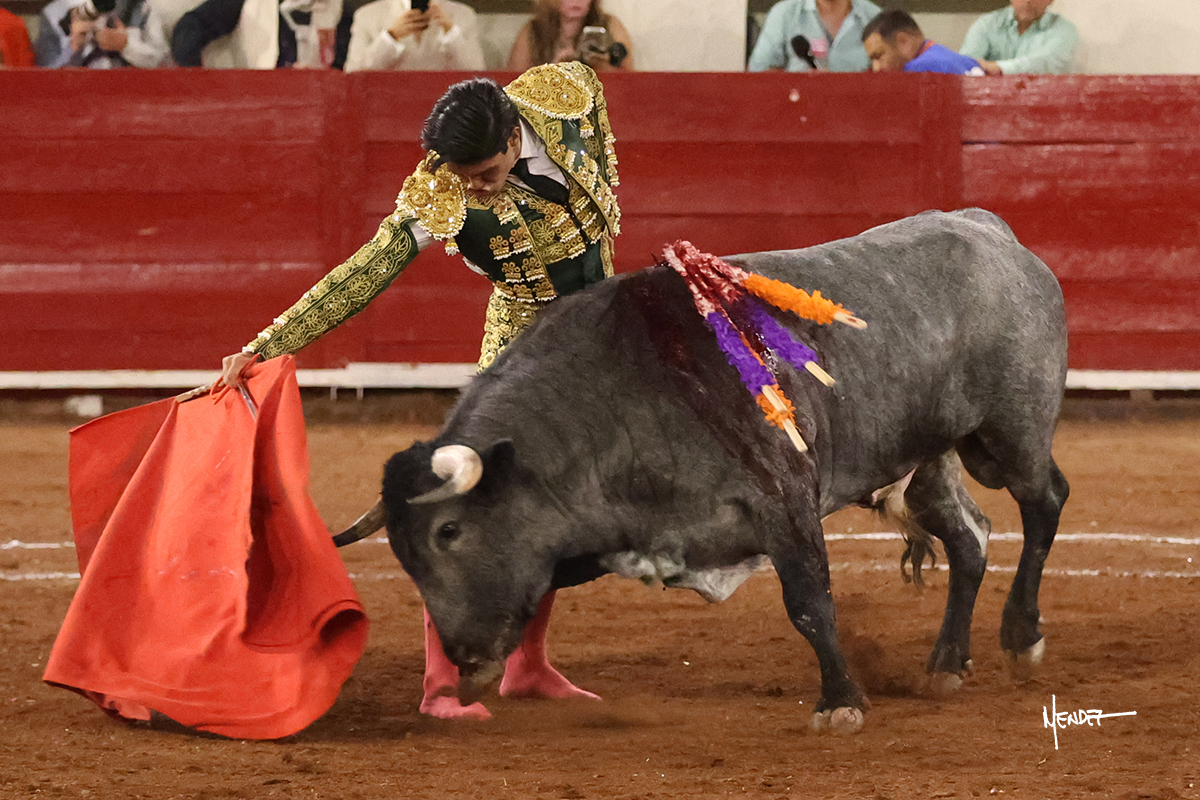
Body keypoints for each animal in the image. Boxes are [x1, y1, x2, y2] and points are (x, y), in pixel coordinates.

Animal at [341, 208, 1070, 734]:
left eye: (450, 533)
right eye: (403, 555)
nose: (462, 657)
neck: (614, 398)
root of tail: (994, 233)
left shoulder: (785, 501)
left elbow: (810, 604)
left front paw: (840, 702)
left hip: (1011, 434)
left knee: (1043, 501)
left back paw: (1022, 636)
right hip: (927, 463)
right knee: (970, 538)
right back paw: (947, 664)